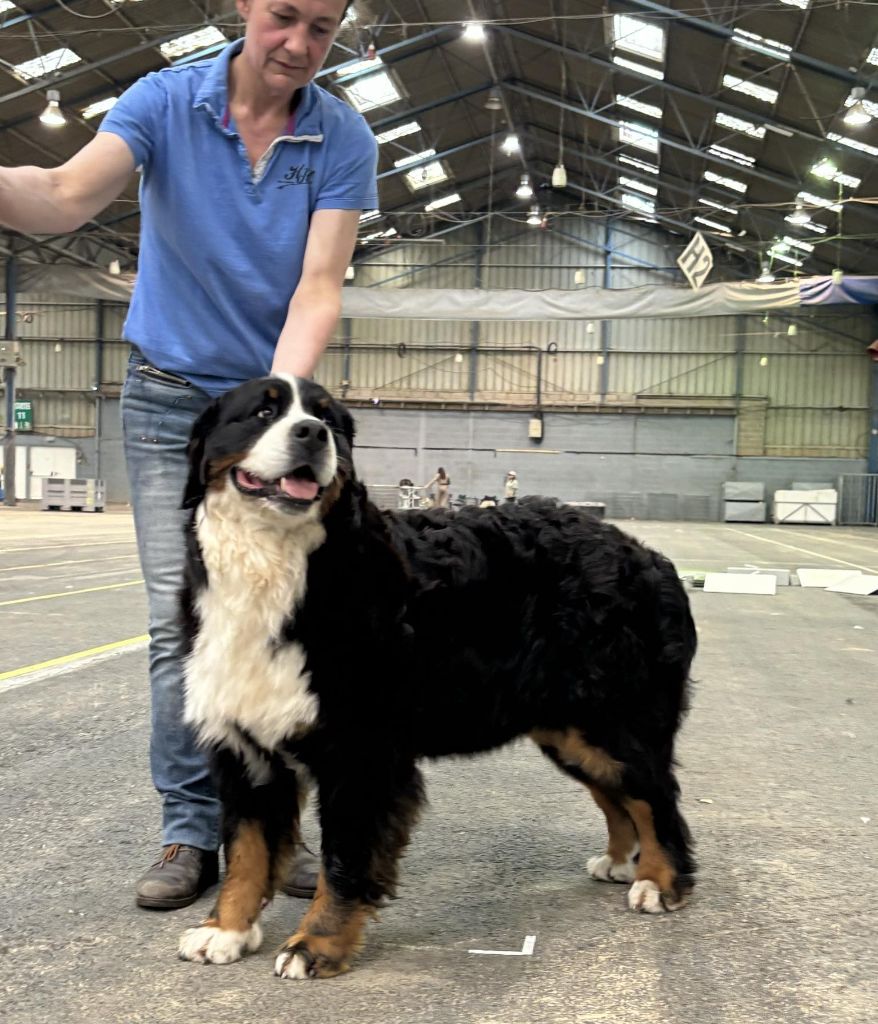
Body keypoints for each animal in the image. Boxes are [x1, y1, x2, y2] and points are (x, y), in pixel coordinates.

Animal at [176, 374, 700, 974]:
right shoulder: (246, 749)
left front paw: (316, 944)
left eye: (328, 420)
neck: (281, 569)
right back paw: (619, 862)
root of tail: (647, 555)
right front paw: (226, 930)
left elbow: (343, 860)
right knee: (619, 797)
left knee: (656, 798)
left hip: (614, 718)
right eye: (263, 413)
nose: (311, 434)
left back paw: (660, 882)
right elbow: (245, 850)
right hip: (569, 731)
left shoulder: (360, 751)